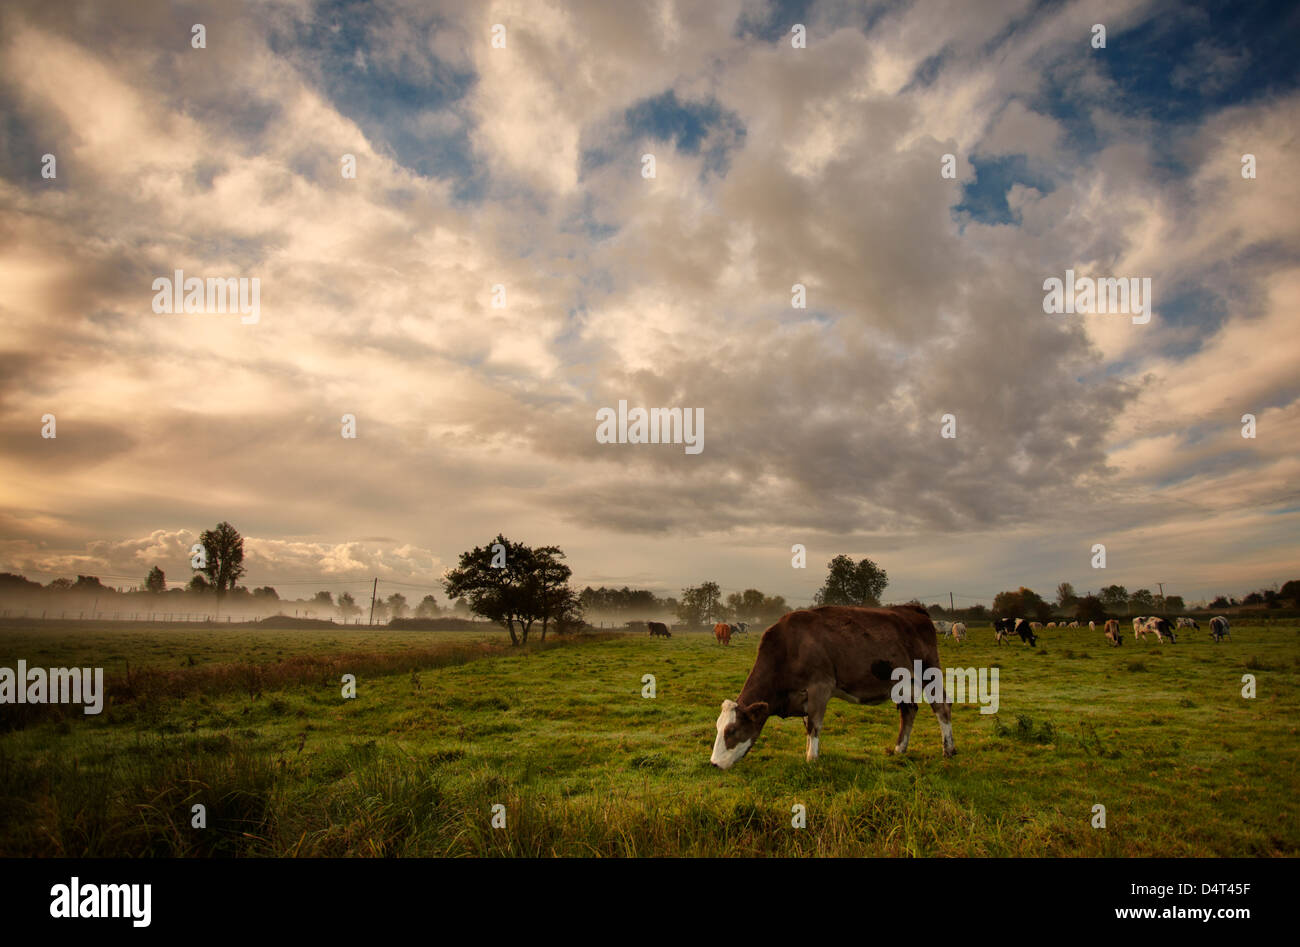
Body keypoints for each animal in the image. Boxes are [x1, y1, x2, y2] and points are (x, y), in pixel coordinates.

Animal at [712, 606, 956, 770]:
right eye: (718, 727)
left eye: (731, 730)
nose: (713, 763)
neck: (789, 647)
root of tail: (913, 609)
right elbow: (807, 727)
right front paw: (808, 752)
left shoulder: (820, 687)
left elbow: (814, 725)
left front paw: (812, 759)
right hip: (903, 683)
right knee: (909, 711)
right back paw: (899, 750)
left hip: (930, 672)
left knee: (941, 708)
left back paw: (948, 750)